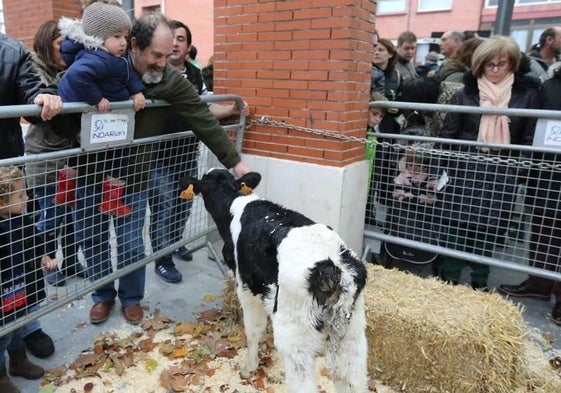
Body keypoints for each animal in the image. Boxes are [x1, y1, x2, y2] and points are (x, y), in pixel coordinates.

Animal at [177, 168, 366, 392]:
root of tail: (331, 265)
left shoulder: (245, 287)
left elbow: (253, 329)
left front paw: (249, 368)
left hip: (294, 335)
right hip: (353, 335)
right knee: (352, 379)